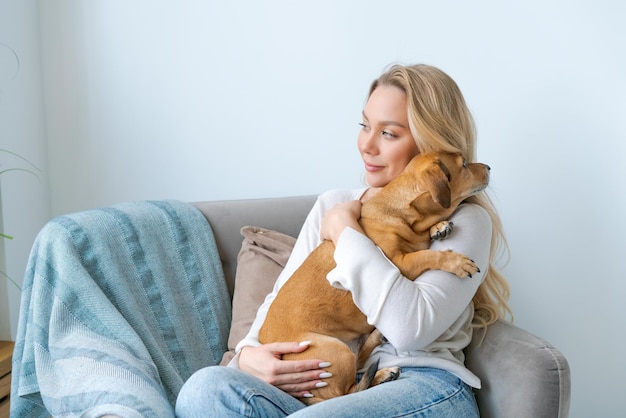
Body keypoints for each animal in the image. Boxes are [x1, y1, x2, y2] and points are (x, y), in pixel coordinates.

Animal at [256, 152, 490, 404]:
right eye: (463, 164)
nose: (489, 167)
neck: (402, 211)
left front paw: (439, 227)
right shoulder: (400, 264)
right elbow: (427, 255)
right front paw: (455, 262)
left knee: (359, 365)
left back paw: (378, 347)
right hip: (336, 352)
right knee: (348, 389)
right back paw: (380, 373)